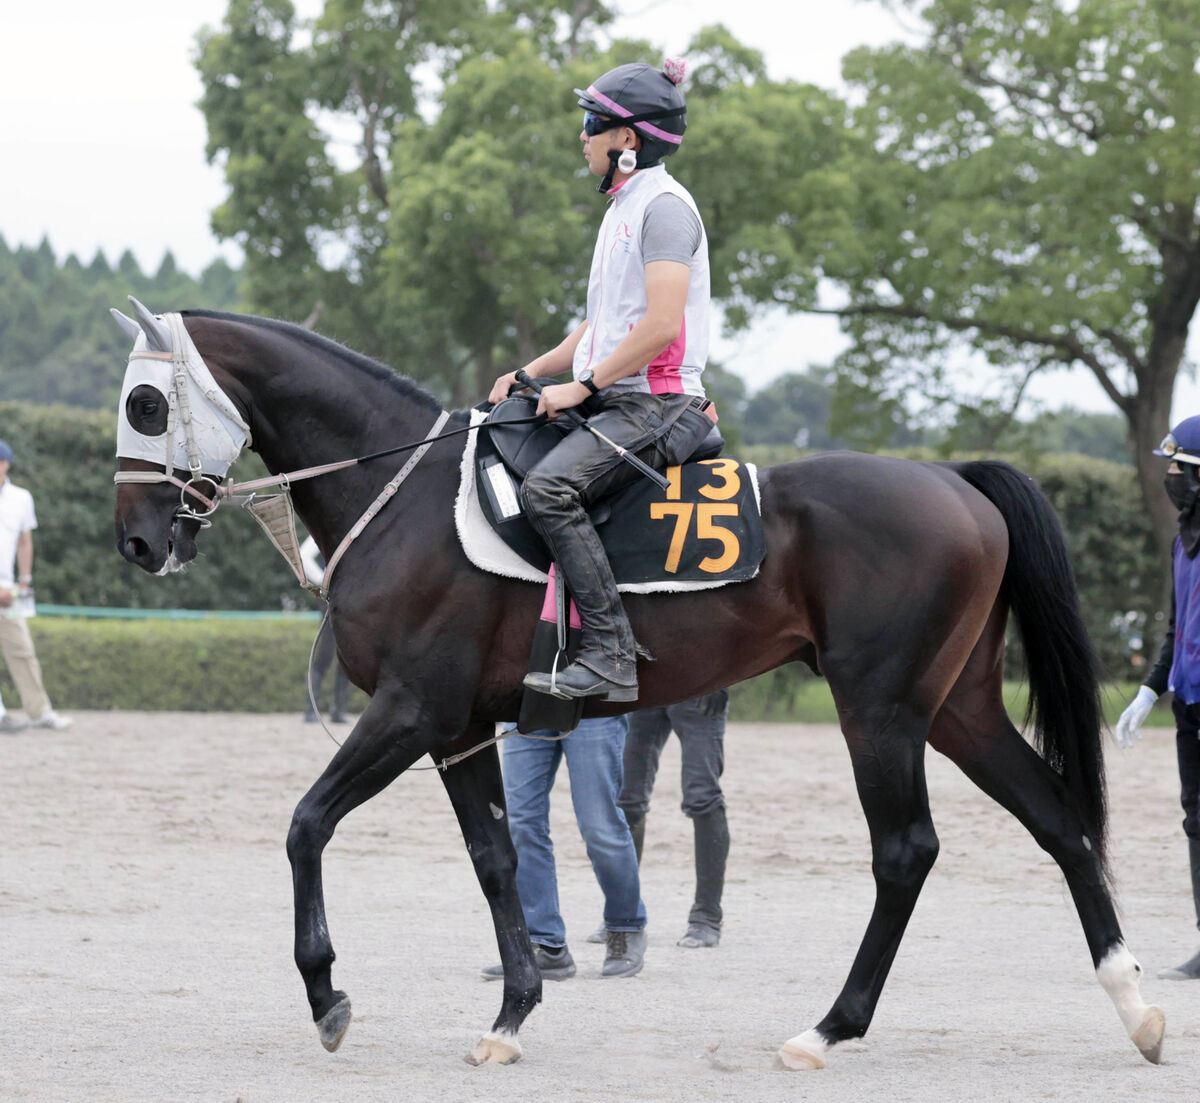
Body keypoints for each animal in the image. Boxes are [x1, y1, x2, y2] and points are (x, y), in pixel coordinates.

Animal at [110, 306, 1161, 1065]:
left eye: (146, 406)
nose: (136, 541)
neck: (406, 495)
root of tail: (952, 480)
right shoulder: (459, 728)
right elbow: (496, 858)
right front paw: (513, 1011)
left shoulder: (410, 709)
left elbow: (306, 824)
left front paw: (328, 993)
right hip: (959, 710)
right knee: (1059, 818)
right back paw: (1135, 1004)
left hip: (883, 711)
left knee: (906, 851)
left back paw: (830, 1026)